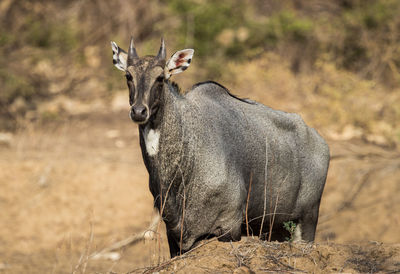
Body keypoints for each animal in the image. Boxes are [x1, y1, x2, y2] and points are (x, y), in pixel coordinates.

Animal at [111, 37, 330, 258]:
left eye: (160, 78)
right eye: (128, 76)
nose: (139, 111)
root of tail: (321, 142)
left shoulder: (228, 226)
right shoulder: (174, 234)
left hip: (307, 220)